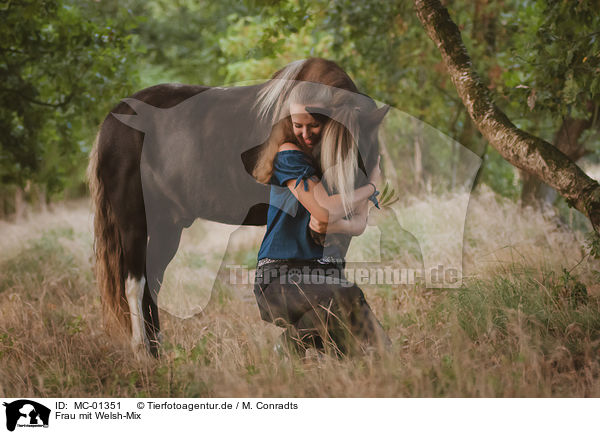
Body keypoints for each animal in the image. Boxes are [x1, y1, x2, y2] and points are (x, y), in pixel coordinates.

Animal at [88, 57, 390, 356]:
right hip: (133, 222)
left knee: (152, 282)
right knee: (134, 283)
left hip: (167, 226)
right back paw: (142, 350)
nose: (322, 227)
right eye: (319, 155)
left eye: (363, 159)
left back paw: (157, 349)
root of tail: (112, 120)